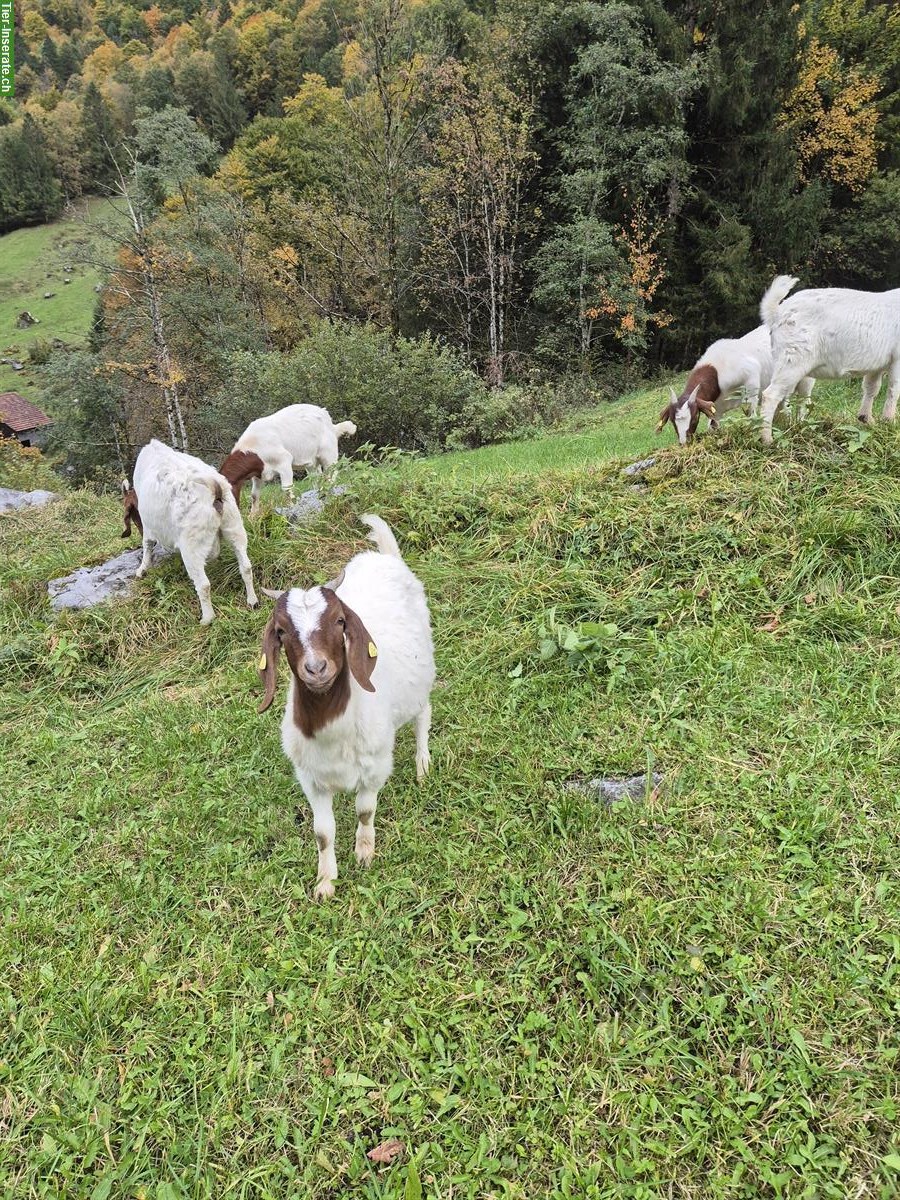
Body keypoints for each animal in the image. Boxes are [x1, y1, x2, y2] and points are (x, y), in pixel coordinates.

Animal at [122, 441, 260, 628]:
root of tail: (214, 487)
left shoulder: (149, 527)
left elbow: (147, 545)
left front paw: (142, 569)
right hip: (235, 527)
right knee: (245, 566)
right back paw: (252, 601)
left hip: (191, 545)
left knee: (203, 585)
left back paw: (207, 619)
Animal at [220, 405, 357, 513]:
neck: (253, 447)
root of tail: (330, 422)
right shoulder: (258, 473)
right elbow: (254, 495)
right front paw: (253, 516)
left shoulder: (284, 460)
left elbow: (286, 489)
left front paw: (291, 508)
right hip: (312, 462)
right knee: (316, 477)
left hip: (328, 453)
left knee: (332, 473)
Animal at [256, 516, 436, 902]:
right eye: (281, 631)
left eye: (340, 621)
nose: (316, 668)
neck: (332, 731)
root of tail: (385, 556)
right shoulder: (311, 779)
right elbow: (322, 833)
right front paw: (325, 882)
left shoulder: (375, 767)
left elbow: (365, 811)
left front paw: (364, 853)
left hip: (422, 676)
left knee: (423, 715)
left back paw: (422, 763)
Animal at [763, 276, 900, 446]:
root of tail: (777, 312)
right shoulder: (897, 357)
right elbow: (894, 389)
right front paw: (890, 422)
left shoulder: (877, 364)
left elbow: (871, 388)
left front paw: (867, 420)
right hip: (792, 359)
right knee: (770, 395)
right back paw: (767, 440)